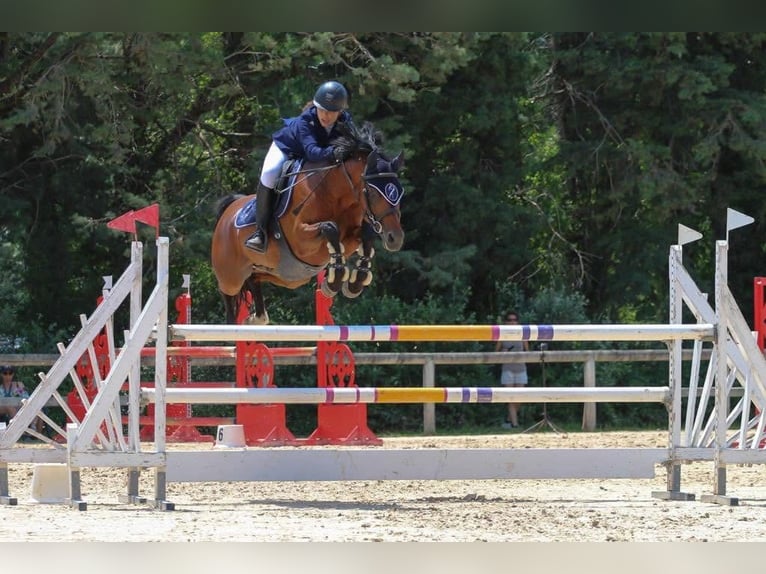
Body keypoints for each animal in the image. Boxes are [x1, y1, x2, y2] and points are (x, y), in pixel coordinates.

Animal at [211, 121, 405, 324]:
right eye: (374, 193)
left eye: (399, 191)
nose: (395, 239)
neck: (335, 192)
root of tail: (229, 210)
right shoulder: (300, 239)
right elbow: (330, 227)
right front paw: (334, 281)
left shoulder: (350, 236)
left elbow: (364, 235)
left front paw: (355, 282)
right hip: (231, 275)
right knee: (228, 294)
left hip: (283, 276)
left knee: (254, 280)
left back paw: (255, 319)